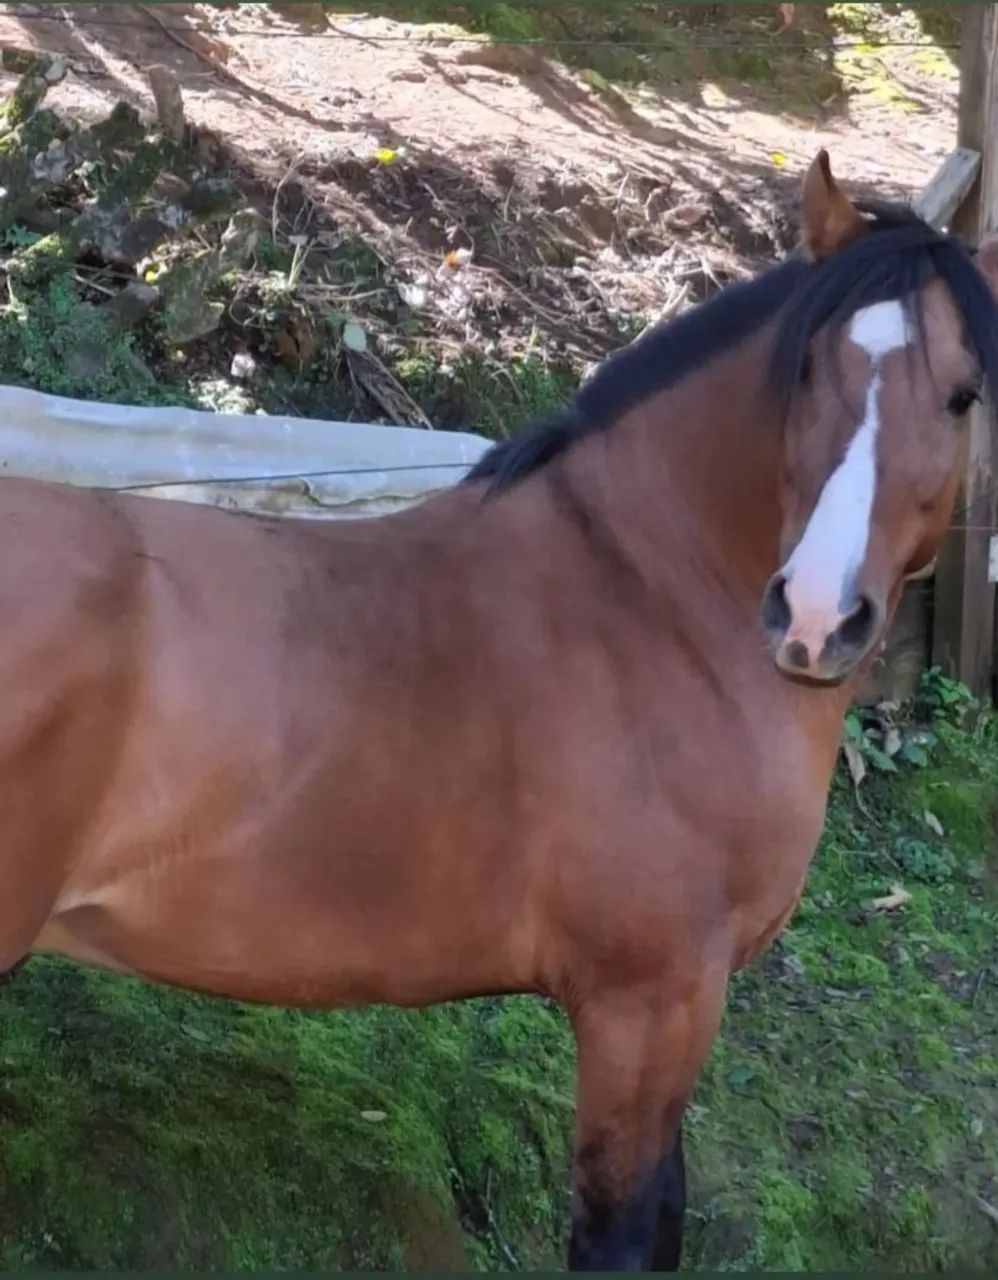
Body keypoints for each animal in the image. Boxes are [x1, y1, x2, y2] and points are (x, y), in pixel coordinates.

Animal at [2, 149, 997, 1270]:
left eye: (960, 394)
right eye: (806, 371)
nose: (817, 615)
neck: (648, 598)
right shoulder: (646, 1005)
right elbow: (619, 1233)